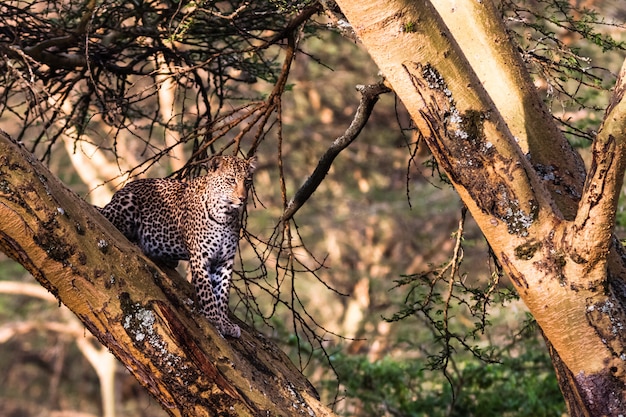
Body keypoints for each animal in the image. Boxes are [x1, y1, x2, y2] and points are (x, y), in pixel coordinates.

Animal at [98, 154, 255, 336]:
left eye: (248, 181)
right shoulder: (200, 256)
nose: (243, 198)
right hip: (127, 202)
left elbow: (222, 294)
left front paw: (225, 322)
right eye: (231, 180)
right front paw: (214, 319)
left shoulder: (225, 261)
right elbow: (207, 292)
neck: (226, 215)